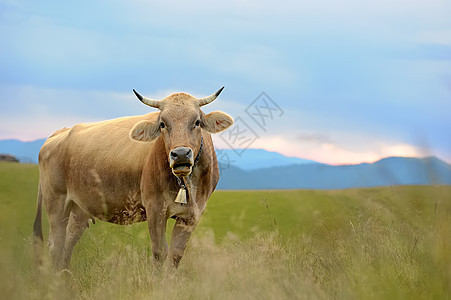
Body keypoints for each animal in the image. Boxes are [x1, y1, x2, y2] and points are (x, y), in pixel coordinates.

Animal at [33, 86, 235, 270]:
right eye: (162, 124)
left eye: (197, 122)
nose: (180, 155)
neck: (185, 184)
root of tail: (58, 133)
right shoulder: (155, 209)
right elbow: (160, 253)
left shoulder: (192, 214)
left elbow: (175, 257)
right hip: (56, 203)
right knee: (56, 247)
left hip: (79, 208)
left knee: (68, 244)